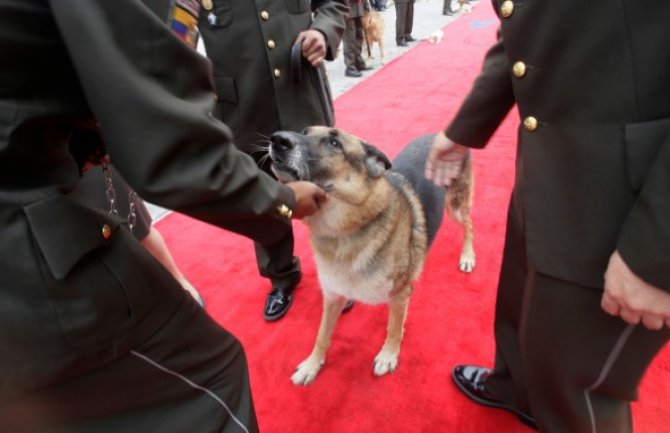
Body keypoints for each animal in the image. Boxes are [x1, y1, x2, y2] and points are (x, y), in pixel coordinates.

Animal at [270, 126, 478, 384]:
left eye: (334, 143)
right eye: (304, 131)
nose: (277, 139)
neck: (343, 234)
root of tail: (439, 134)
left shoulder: (399, 294)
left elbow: (393, 328)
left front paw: (388, 354)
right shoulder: (333, 296)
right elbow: (322, 335)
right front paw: (312, 365)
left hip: (456, 206)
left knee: (468, 224)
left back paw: (467, 256)